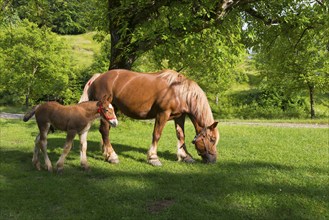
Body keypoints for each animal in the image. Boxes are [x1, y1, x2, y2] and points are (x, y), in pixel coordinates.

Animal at [78, 69, 219, 165]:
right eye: (212, 139)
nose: (213, 160)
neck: (178, 91)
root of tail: (98, 77)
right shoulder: (162, 114)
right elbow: (157, 135)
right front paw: (153, 158)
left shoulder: (179, 117)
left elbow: (181, 135)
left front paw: (185, 156)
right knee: (105, 131)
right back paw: (112, 156)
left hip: (112, 111)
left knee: (105, 130)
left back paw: (106, 153)